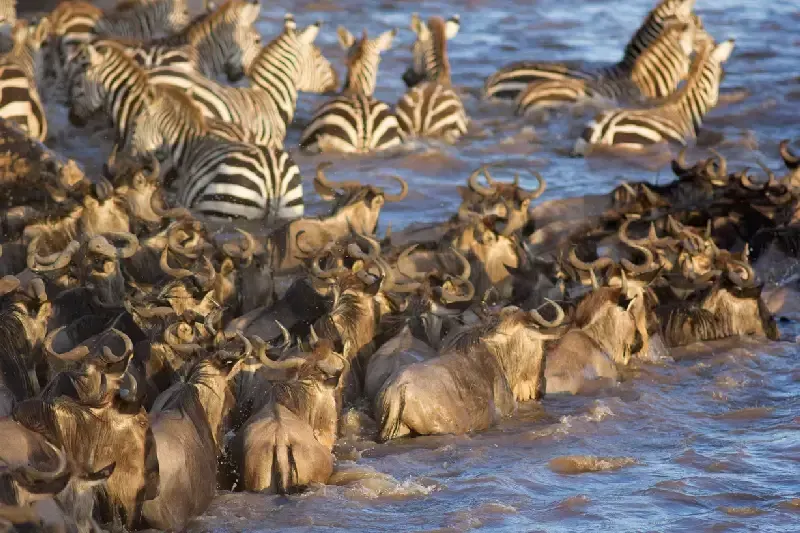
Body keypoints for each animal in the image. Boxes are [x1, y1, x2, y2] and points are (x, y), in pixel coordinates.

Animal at [128, 85, 304, 222]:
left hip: (226, 206)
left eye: (136, 124)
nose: (135, 161)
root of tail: (272, 175)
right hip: (289, 210)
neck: (190, 146)